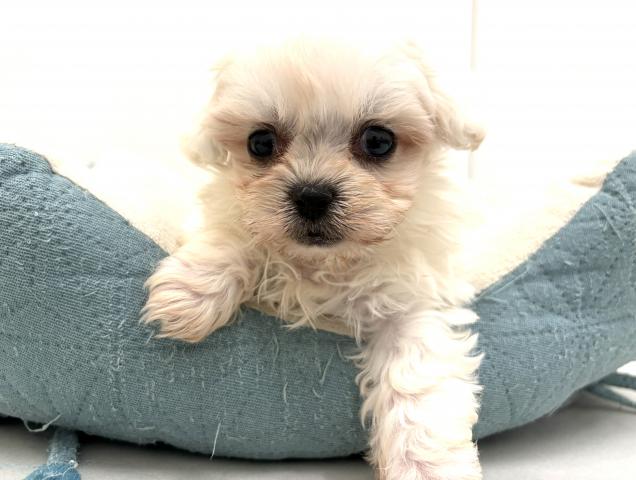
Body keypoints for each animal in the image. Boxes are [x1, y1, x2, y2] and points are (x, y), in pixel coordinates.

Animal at [142, 36, 485, 480]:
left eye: (378, 140)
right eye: (260, 143)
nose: (311, 195)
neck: (324, 264)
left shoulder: (416, 300)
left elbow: (418, 376)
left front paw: (428, 466)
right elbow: (236, 231)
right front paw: (191, 293)